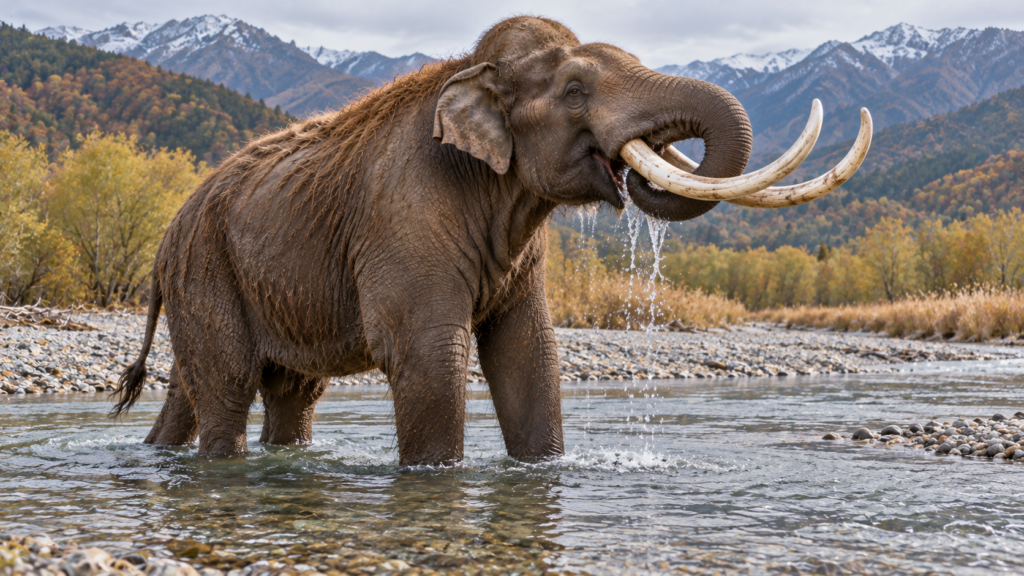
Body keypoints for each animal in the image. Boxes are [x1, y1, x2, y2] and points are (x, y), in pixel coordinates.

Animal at [112, 16, 871, 465]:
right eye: (575, 88)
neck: (473, 72)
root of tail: (164, 239)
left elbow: (528, 354)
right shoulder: (405, 217)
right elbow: (428, 354)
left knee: (264, 392)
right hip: (207, 268)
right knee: (228, 387)